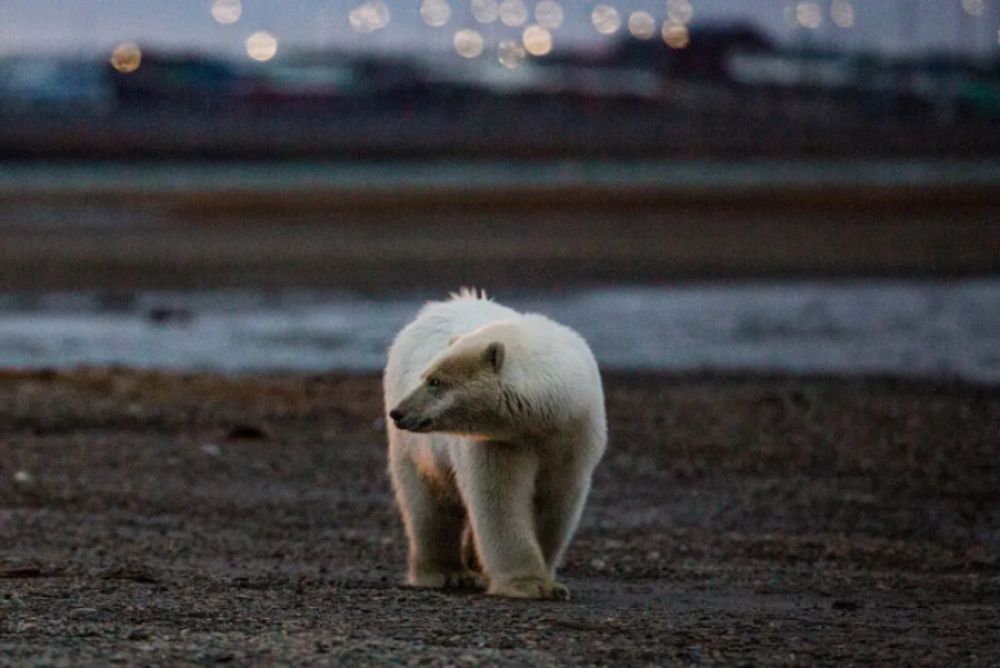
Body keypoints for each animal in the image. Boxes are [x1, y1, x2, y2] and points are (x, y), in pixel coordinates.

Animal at [382, 288, 604, 600]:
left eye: (436, 381)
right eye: (425, 376)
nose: (399, 413)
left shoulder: (572, 435)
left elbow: (556, 499)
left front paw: (553, 584)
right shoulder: (498, 442)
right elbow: (500, 498)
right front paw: (528, 584)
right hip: (415, 448)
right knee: (427, 502)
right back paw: (445, 573)